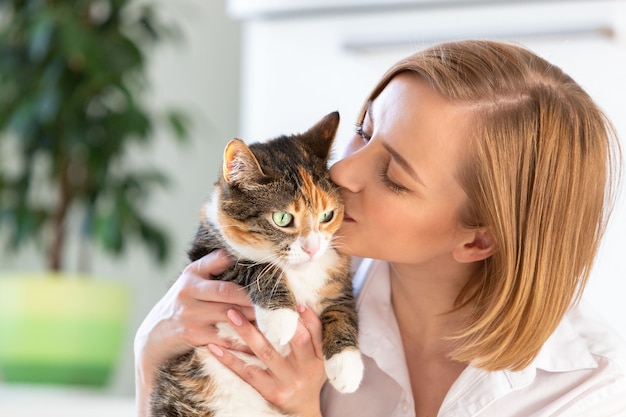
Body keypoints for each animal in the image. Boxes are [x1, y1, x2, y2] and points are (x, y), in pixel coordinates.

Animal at [151, 111, 364, 416]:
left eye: (327, 215)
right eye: (282, 219)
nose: (312, 248)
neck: (300, 274)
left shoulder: (337, 274)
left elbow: (342, 308)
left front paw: (346, 368)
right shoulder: (207, 252)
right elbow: (254, 266)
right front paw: (280, 319)